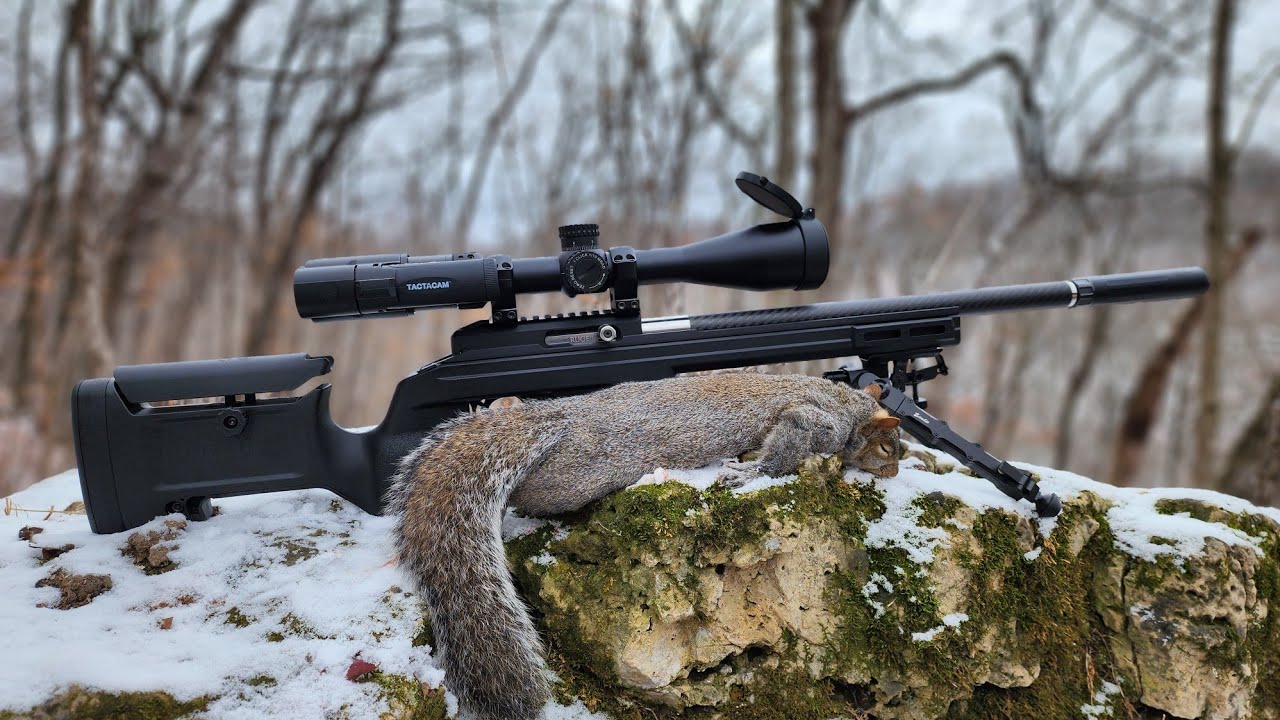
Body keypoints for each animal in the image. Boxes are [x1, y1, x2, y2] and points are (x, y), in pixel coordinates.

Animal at [385, 372, 902, 720]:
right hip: (571, 479)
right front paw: (748, 473)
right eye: (887, 448)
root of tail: (555, 417)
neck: (848, 405)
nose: (896, 471)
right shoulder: (814, 419)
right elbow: (786, 446)